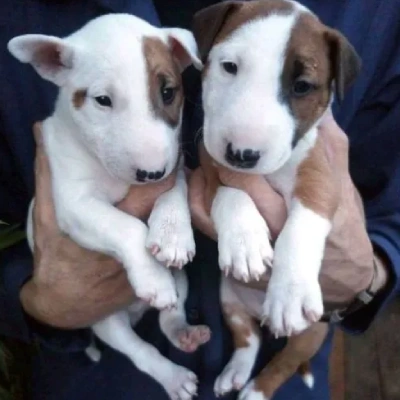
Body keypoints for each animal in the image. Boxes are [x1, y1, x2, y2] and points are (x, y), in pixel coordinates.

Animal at [8, 14, 209, 400]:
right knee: (140, 351)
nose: (150, 173)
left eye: (168, 92)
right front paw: (152, 276)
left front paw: (173, 235)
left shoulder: (175, 165)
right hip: (103, 320)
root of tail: (135, 312)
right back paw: (173, 375)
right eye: (102, 100)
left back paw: (186, 334)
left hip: (182, 281)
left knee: (171, 315)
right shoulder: (74, 204)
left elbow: (173, 190)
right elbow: (126, 226)